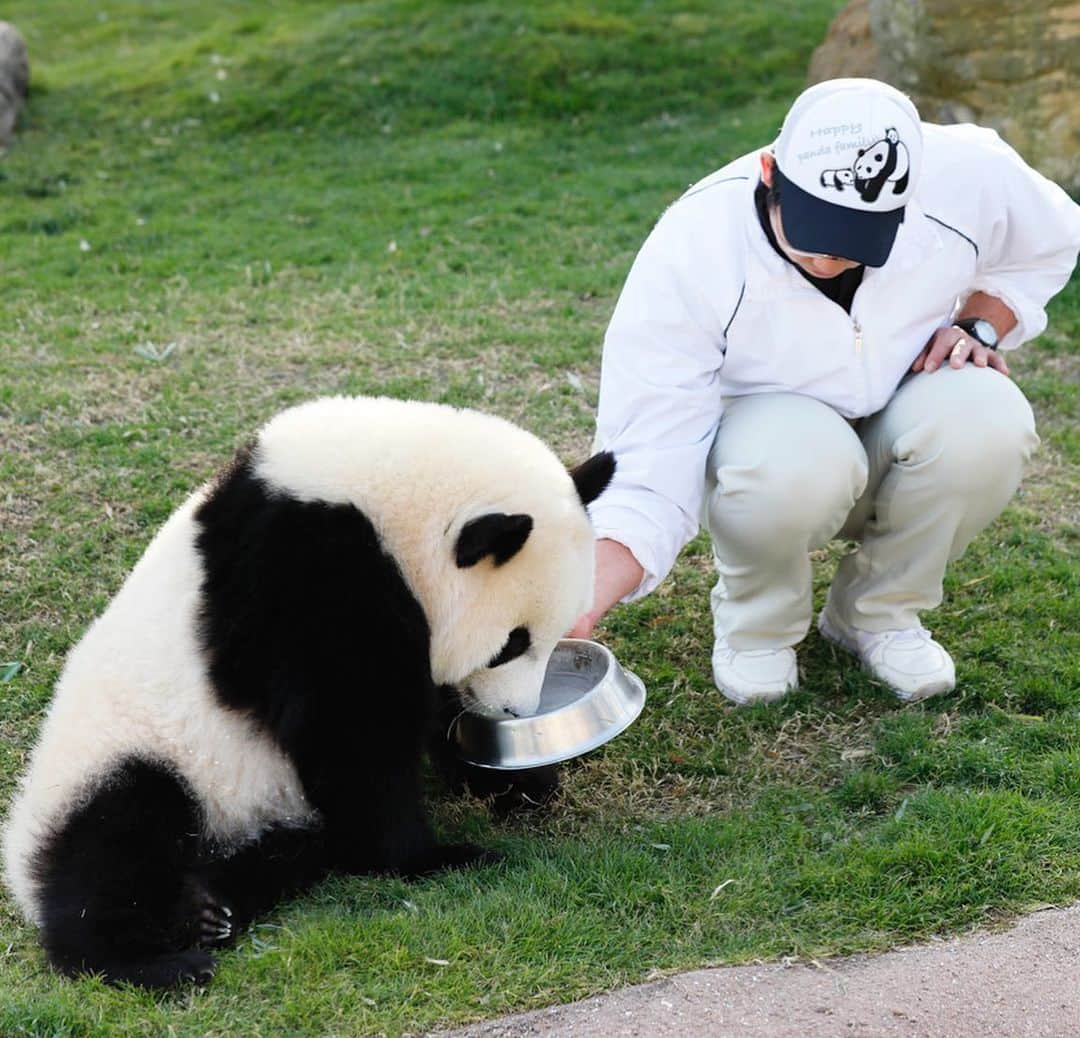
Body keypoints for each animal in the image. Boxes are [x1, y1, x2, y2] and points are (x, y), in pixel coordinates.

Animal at [0, 395, 613, 989]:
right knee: (115, 841)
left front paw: (517, 782)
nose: (516, 710)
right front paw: (432, 856)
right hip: (131, 755)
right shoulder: (307, 576)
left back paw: (212, 905)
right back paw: (150, 960)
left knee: (293, 847)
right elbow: (354, 729)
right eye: (512, 643)